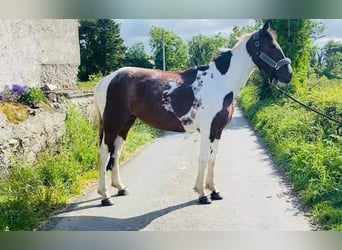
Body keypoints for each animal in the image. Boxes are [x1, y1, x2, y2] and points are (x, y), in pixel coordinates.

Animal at [95, 21, 292, 205]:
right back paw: (105, 196)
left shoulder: (218, 131)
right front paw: (202, 193)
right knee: (104, 154)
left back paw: (121, 188)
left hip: (126, 123)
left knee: (116, 153)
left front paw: (214, 191)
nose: (288, 75)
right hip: (113, 124)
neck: (220, 82)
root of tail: (106, 80)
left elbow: (213, 159)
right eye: (271, 46)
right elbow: (203, 159)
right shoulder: (207, 130)